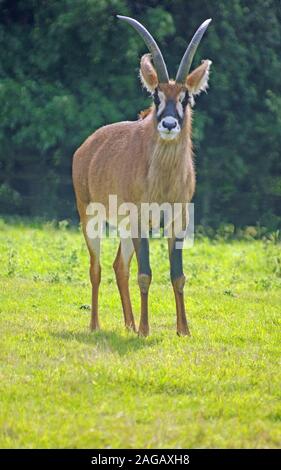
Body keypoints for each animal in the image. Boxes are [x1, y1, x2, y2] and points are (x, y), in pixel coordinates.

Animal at [72, 15, 212, 338]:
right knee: (96, 268)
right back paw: (96, 325)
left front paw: (183, 330)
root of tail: (87, 146)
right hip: (91, 218)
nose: (169, 124)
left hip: (124, 227)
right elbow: (145, 273)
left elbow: (178, 275)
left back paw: (129, 323)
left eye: (186, 98)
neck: (163, 180)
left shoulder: (177, 219)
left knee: (119, 266)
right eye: (155, 96)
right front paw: (146, 330)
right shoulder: (140, 220)